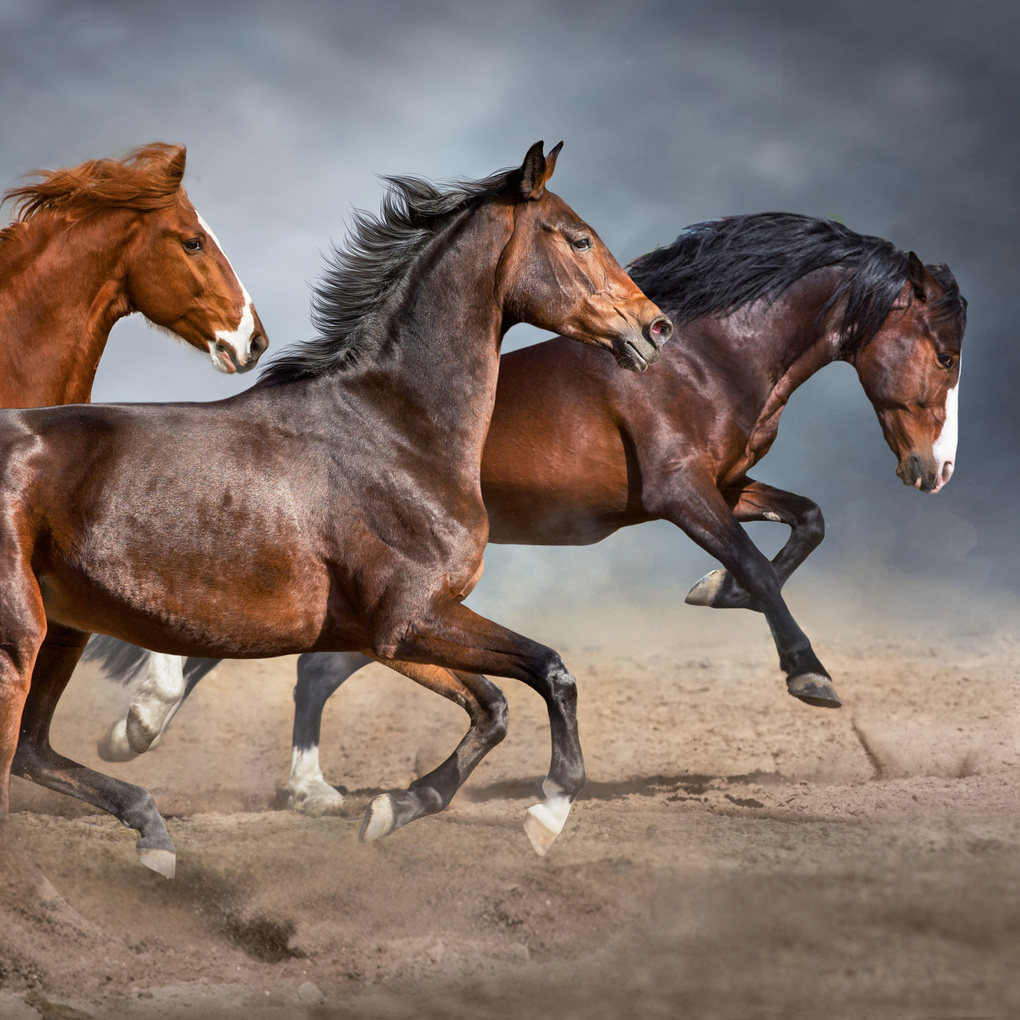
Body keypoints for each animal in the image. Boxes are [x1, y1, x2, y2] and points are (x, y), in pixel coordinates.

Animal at [91, 212, 966, 817]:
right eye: (945, 352)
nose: (936, 472)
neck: (704, 358)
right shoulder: (682, 493)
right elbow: (760, 564)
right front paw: (808, 675)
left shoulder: (729, 484)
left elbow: (807, 521)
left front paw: (713, 593)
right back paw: (148, 726)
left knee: (316, 666)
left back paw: (295, 782)